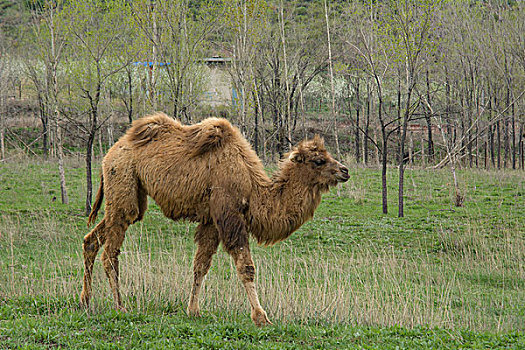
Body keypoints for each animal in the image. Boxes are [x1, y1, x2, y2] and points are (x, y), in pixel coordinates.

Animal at [81, 111, 348, 326]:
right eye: (319, 160)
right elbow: (246, 267)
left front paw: (193, 310)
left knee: (91, 240)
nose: (344, 170)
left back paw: (86, 299)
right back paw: (120, 305)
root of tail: (111, 152)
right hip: (123, 181)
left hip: (132, 195)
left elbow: (201, 265)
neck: (253, 188)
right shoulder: (229, 214)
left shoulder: (211, 220)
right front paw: (261, 317)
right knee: (111, 252)